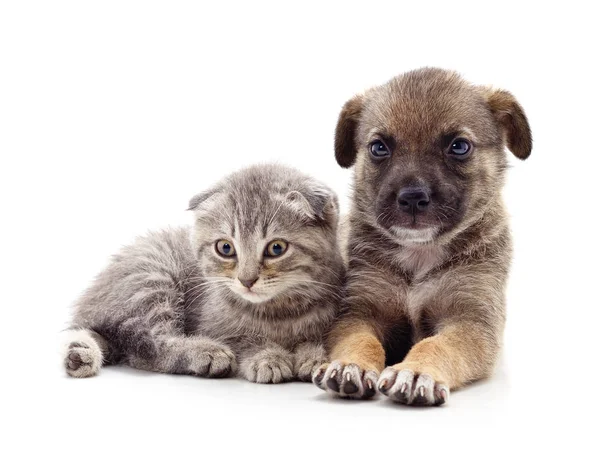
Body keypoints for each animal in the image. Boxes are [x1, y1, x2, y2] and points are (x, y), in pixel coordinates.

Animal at [62, 165, 342, 384]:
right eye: (225, 248)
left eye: (276, 248)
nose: (247, 280)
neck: (278, 313)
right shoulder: (211, 323)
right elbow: (244, 340)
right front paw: (267, 356)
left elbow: (318, 340)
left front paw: (312, 355)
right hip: (153, 280)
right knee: (147, 348)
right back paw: (206, 353)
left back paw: (79, 354)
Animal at [312, 67, 532, 406]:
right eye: (378, 148)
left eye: (459, 146)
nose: (413, 198)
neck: (420, 253)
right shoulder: (359, 313)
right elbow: (361, 342)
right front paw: (351, 366)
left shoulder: (471, 322)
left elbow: (435, 345)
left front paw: (415, 372)